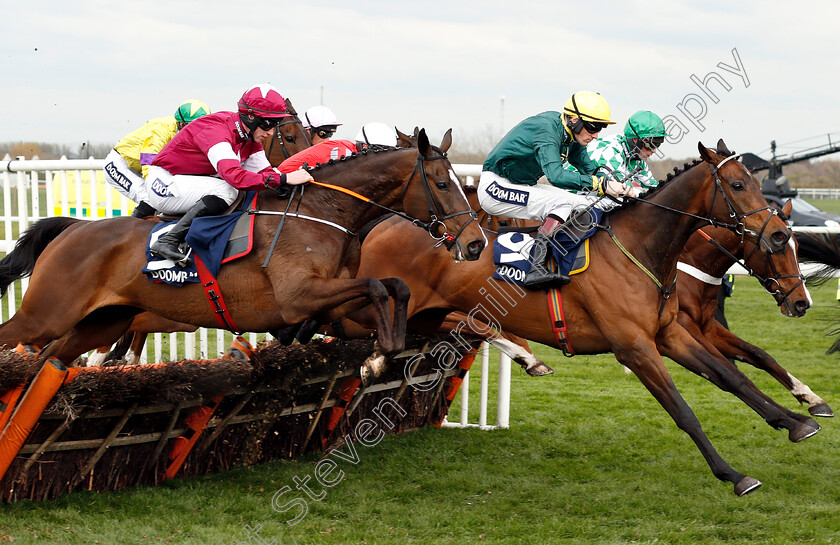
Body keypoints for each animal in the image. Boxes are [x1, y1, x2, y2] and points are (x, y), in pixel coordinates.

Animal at [0, 131, 486, 378]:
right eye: (442, 184)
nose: (476, 243)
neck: (321, 212)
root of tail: (74, 228)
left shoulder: (328, 301)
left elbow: (393, 286)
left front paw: (382, 353)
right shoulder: (299, 297)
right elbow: (376, 286)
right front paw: (378, 356)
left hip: (102, 321)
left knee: (49, 359)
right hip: (47, 313)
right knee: (19, 340)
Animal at [344, 139, 812, 492]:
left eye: (755, 183)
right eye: (737, 184)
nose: (777, 233)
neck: (641, 250)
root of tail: (387, 221)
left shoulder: (669, 334)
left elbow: (733, 376)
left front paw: (795, 420)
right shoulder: (635, 348)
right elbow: (683, 411)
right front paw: (733, 475)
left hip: (429, 312)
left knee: (448, 326)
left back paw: (517, 355)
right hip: (378, 308)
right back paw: (375, 361)